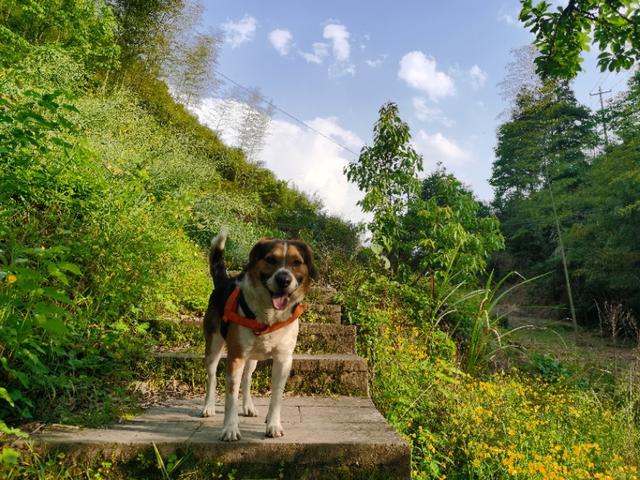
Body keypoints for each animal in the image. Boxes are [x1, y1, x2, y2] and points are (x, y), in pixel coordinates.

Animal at [201, 231, 316, 440]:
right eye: (270, 259)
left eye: (296, 262)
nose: (284, 280)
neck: (269, 316)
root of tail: (224, 281)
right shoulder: (236, 357)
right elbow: (231, 396)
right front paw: (230, 428)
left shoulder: (283, 360)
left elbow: (276, 395)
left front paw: (273, 424)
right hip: (213, 346)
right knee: (212, 376)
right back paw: (209, 406)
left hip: (252, 358)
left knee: (247, 378)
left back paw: (248, 406)